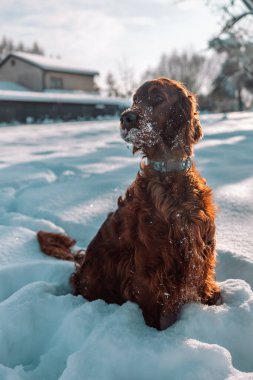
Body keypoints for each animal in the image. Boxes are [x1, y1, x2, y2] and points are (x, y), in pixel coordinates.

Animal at [37, 77, 221, 330]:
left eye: (158, 98)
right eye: (135, 99)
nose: (126, 118)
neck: (169, 175)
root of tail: (81, 265)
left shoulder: (202, 252)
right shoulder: (149, 268)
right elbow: (152, 313)